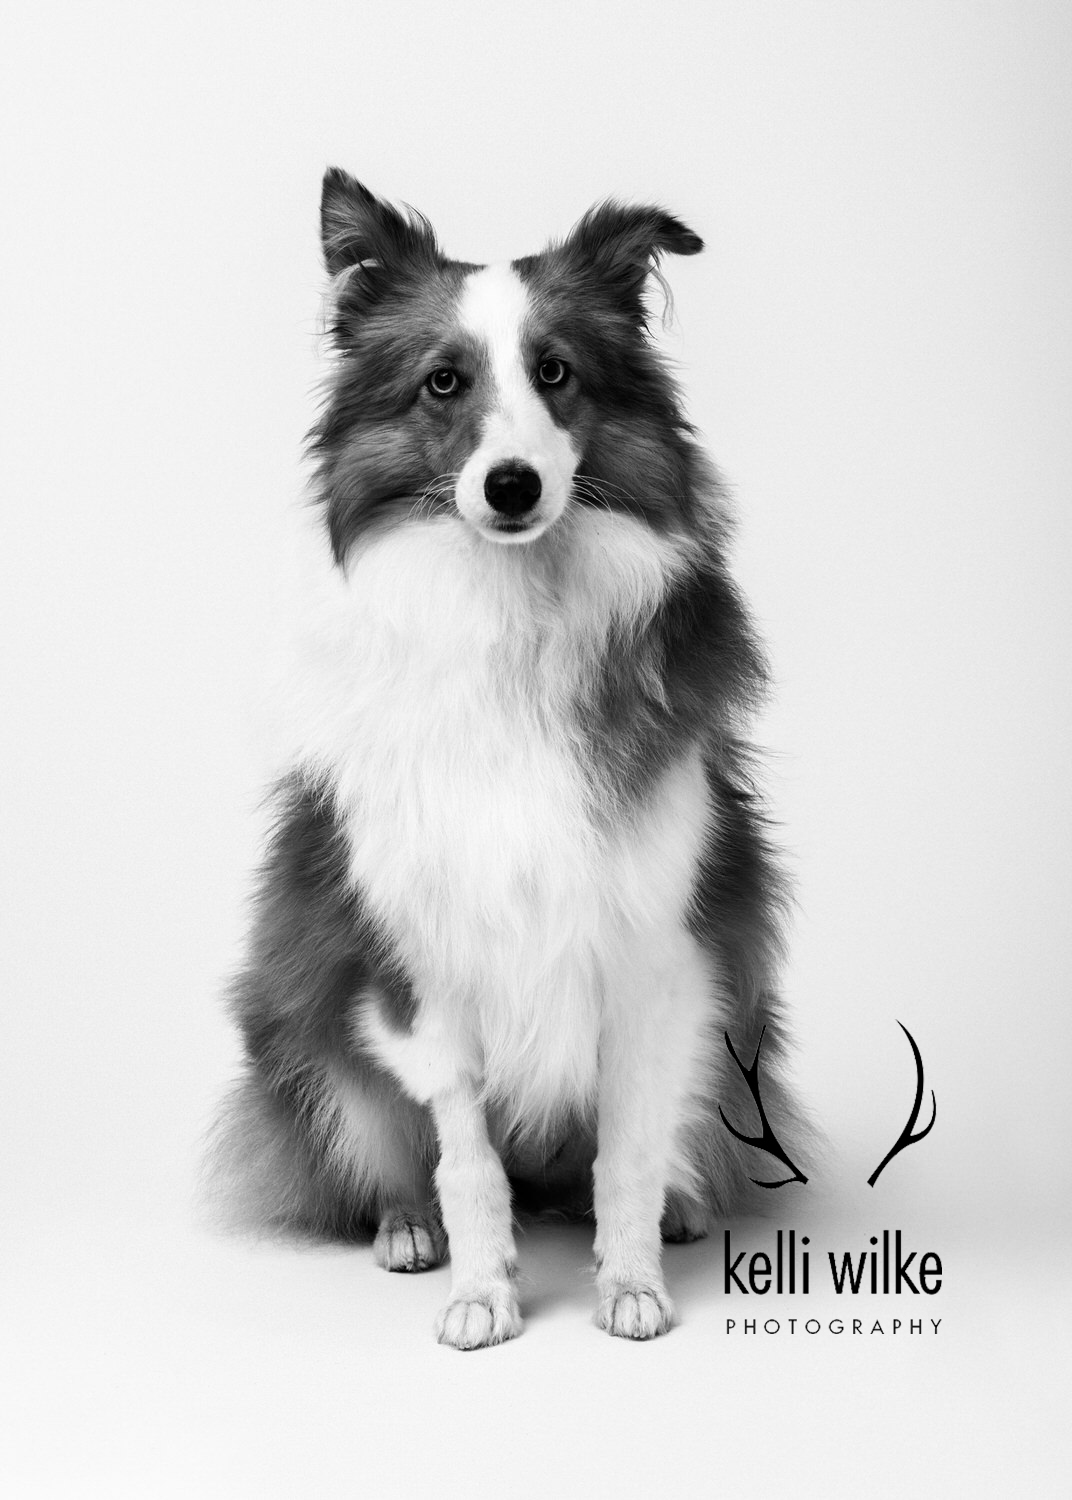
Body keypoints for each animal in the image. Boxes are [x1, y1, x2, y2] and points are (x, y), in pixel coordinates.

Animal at [211, 170, 797, 1356]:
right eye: (443, 382)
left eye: (556, 372)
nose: (514, 485)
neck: (511, 616)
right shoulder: (419, 956)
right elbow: (467, 1162)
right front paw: (482, 1292)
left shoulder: (659, 948)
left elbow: (625, 1153)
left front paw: (629, 1284)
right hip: (302, 1022)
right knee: (398, 1154)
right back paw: (405, 1229)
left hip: (735, 1025)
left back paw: (675, 1209)